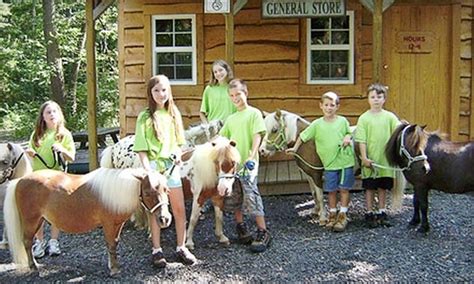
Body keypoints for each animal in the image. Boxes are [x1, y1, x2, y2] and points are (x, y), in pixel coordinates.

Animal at [3, 168, 171, 274]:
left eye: (166, 190)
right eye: (147, 193)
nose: (165, 219)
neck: (116, 192)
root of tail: (20, 180)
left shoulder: (118, 225)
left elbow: (114, 244)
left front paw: (112, 265)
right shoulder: (108, 224)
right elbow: (111, 244)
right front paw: (114, 269)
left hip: (39, 220)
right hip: (31, 220)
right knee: (27, 242)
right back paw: (34, 267)